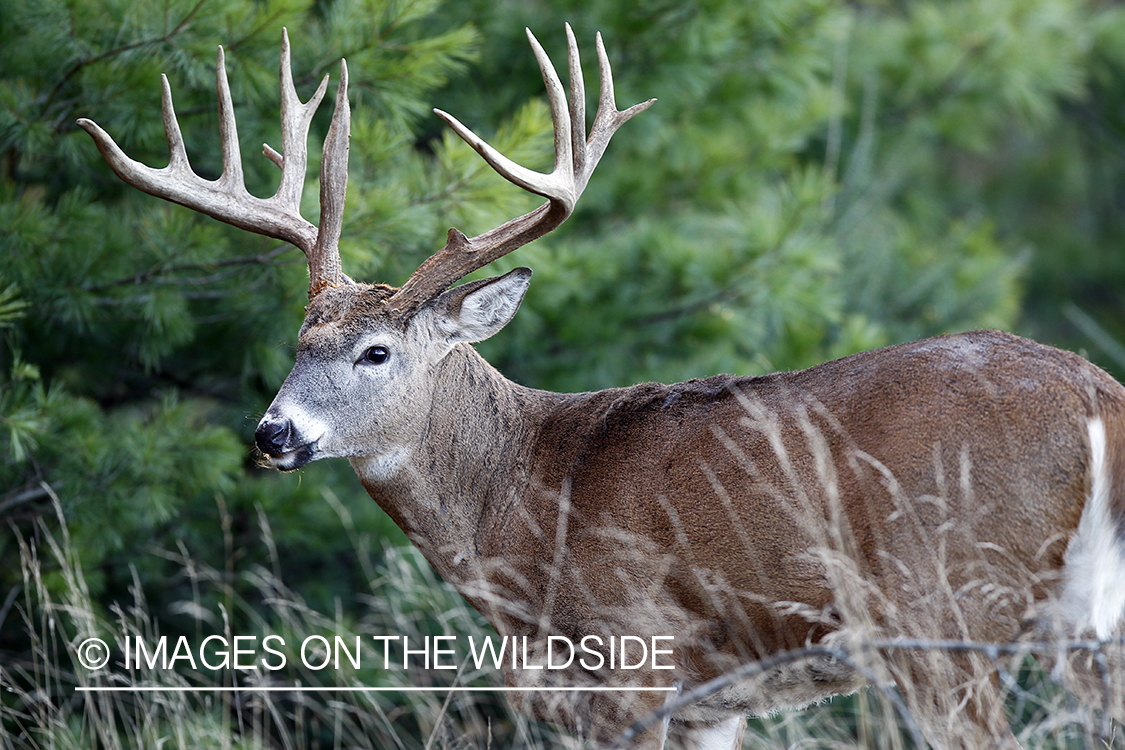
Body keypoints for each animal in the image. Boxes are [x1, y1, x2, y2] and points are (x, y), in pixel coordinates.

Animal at [79, 24, 1125, 750]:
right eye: (299, 343)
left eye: (375, 353)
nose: (273, 432)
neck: (514, 502)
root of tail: (1095, 395)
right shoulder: (711, 699)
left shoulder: (630, 661)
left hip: (946, 613)